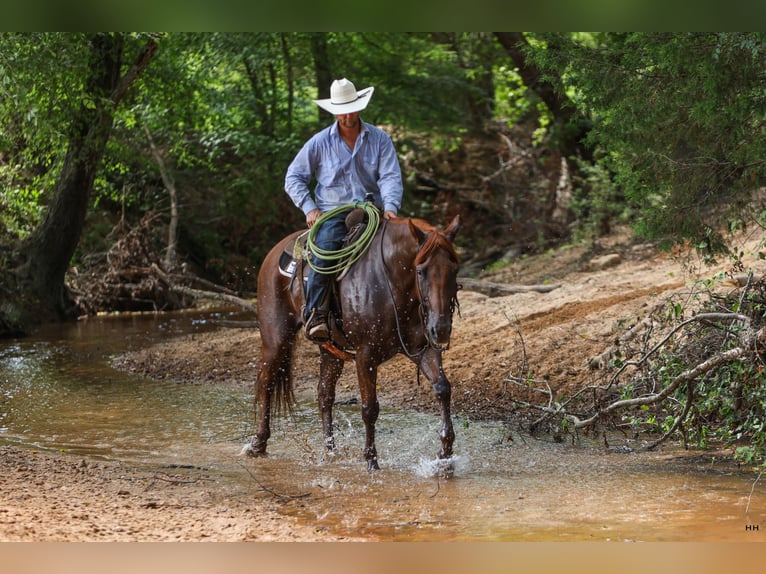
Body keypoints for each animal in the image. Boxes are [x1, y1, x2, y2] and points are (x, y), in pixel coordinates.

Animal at [248, 216, 462, 472]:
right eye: (421, 270)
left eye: (455, 269)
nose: (441, 329)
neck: (392, 283)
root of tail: (274, 252)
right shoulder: (365, 355)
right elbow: (369, 408)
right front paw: (371, 460)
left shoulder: (424, 349)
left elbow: (443, 388)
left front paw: (445, 455)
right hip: (276, 339)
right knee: (266, 382)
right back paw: (258, 443)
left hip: (330, 351)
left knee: (324, 394)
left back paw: (330, 451)